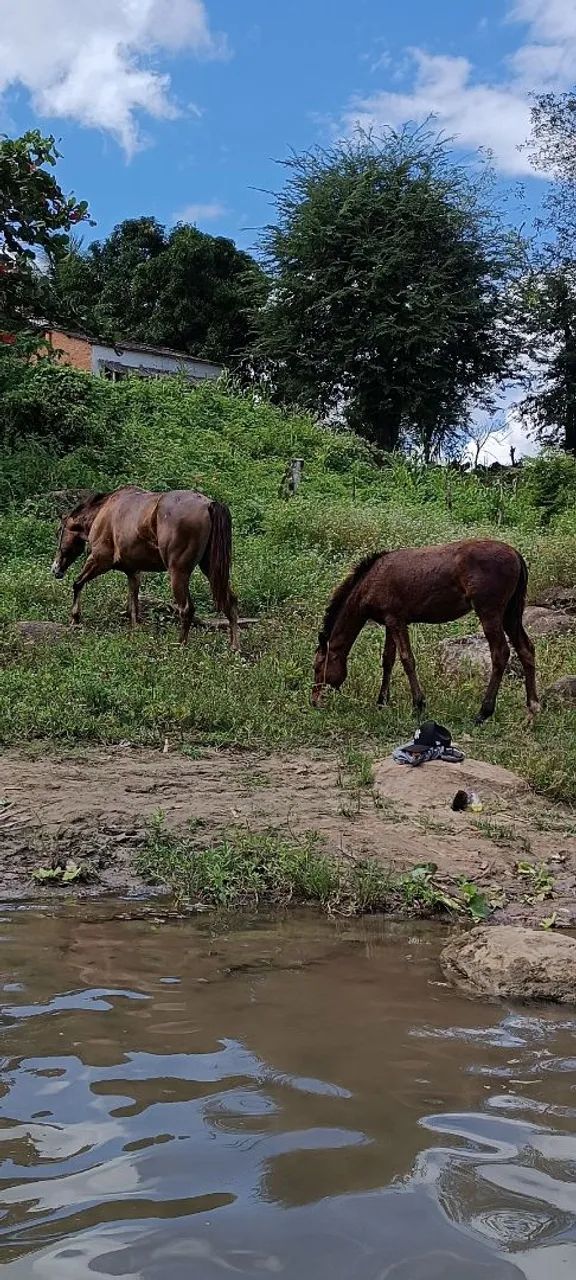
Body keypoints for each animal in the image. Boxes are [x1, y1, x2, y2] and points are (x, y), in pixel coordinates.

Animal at [51, 486, 239, 649]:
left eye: (59, 531)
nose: (55, 569)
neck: (104, 512)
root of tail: (208, 504)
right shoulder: (133, 572)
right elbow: (133, 607)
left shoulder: (100, 560)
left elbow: (77, 583)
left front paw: (75, 618)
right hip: (211, 570)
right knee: (230, 601)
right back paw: (234, 647)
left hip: (178, 573)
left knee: (187, 609)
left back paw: (180, 645)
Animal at [311, 539, 538, 723]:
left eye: (317, 667)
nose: (314, 702)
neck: (372, 580)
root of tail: (515, 554)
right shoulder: (390, 623)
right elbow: (388, 660)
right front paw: (382, 701)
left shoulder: (397, 621)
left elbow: (407, 660)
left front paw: (418, 705)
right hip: (511, 615)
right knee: (526, 650)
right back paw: (532, 707)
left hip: (489, 613)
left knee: (500, 653)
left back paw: (483, 712)